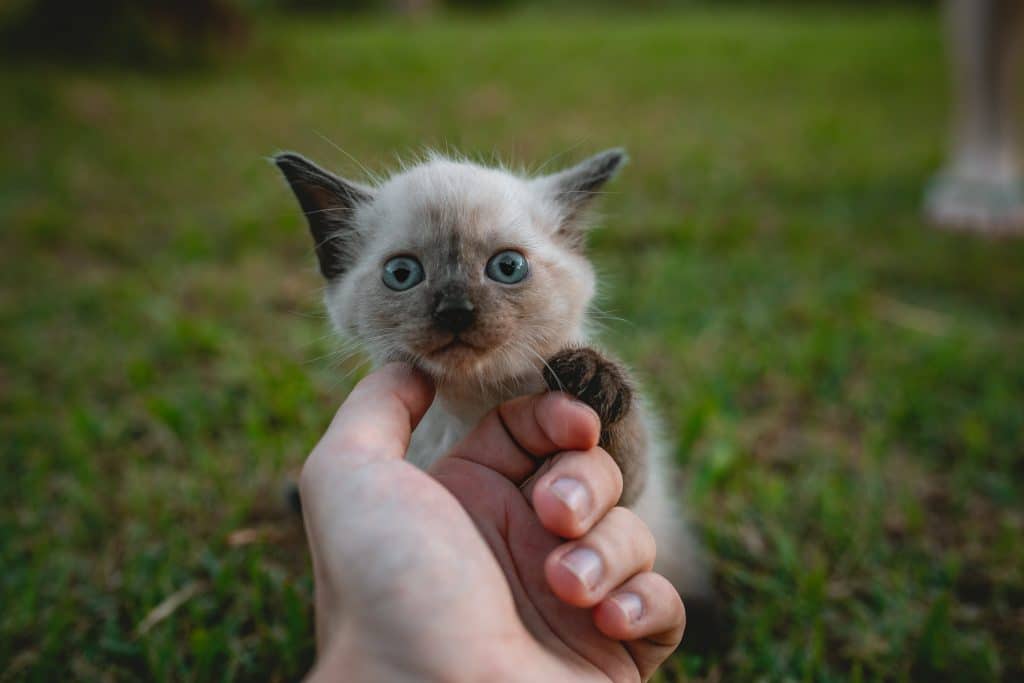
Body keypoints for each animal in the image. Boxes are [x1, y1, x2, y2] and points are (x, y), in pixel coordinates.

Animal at [276, 147, 716, 622]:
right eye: (402, 273)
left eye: (507, 267)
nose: (455, 309)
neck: (474, 405)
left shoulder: (630, 495)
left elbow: (621, 464)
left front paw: (592, 379)